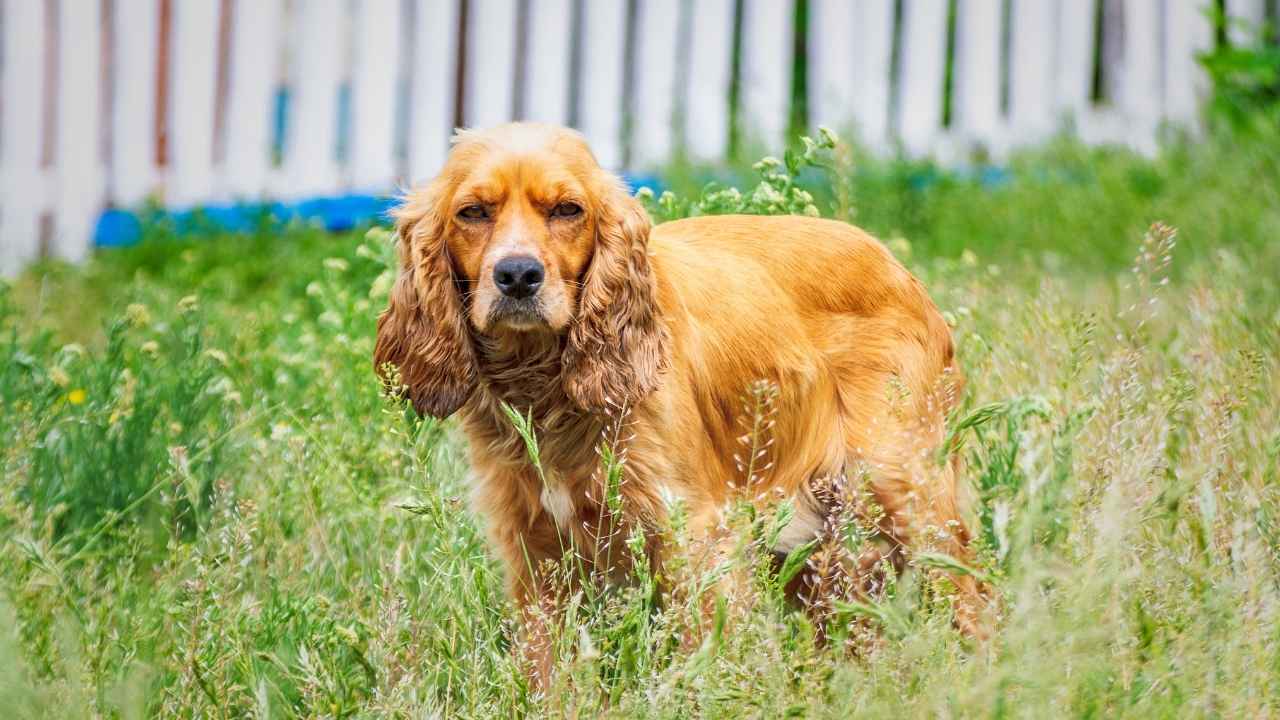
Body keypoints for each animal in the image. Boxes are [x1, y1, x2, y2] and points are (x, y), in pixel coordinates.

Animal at [373, 121, 988, 681]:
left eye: (568, 210)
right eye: (473, 212)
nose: (518, 274)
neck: (547, 386)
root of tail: (898, 267)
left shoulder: (691, 535)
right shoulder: (536, 551)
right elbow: (550, 674)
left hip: (907, 494)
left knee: (977, 601)